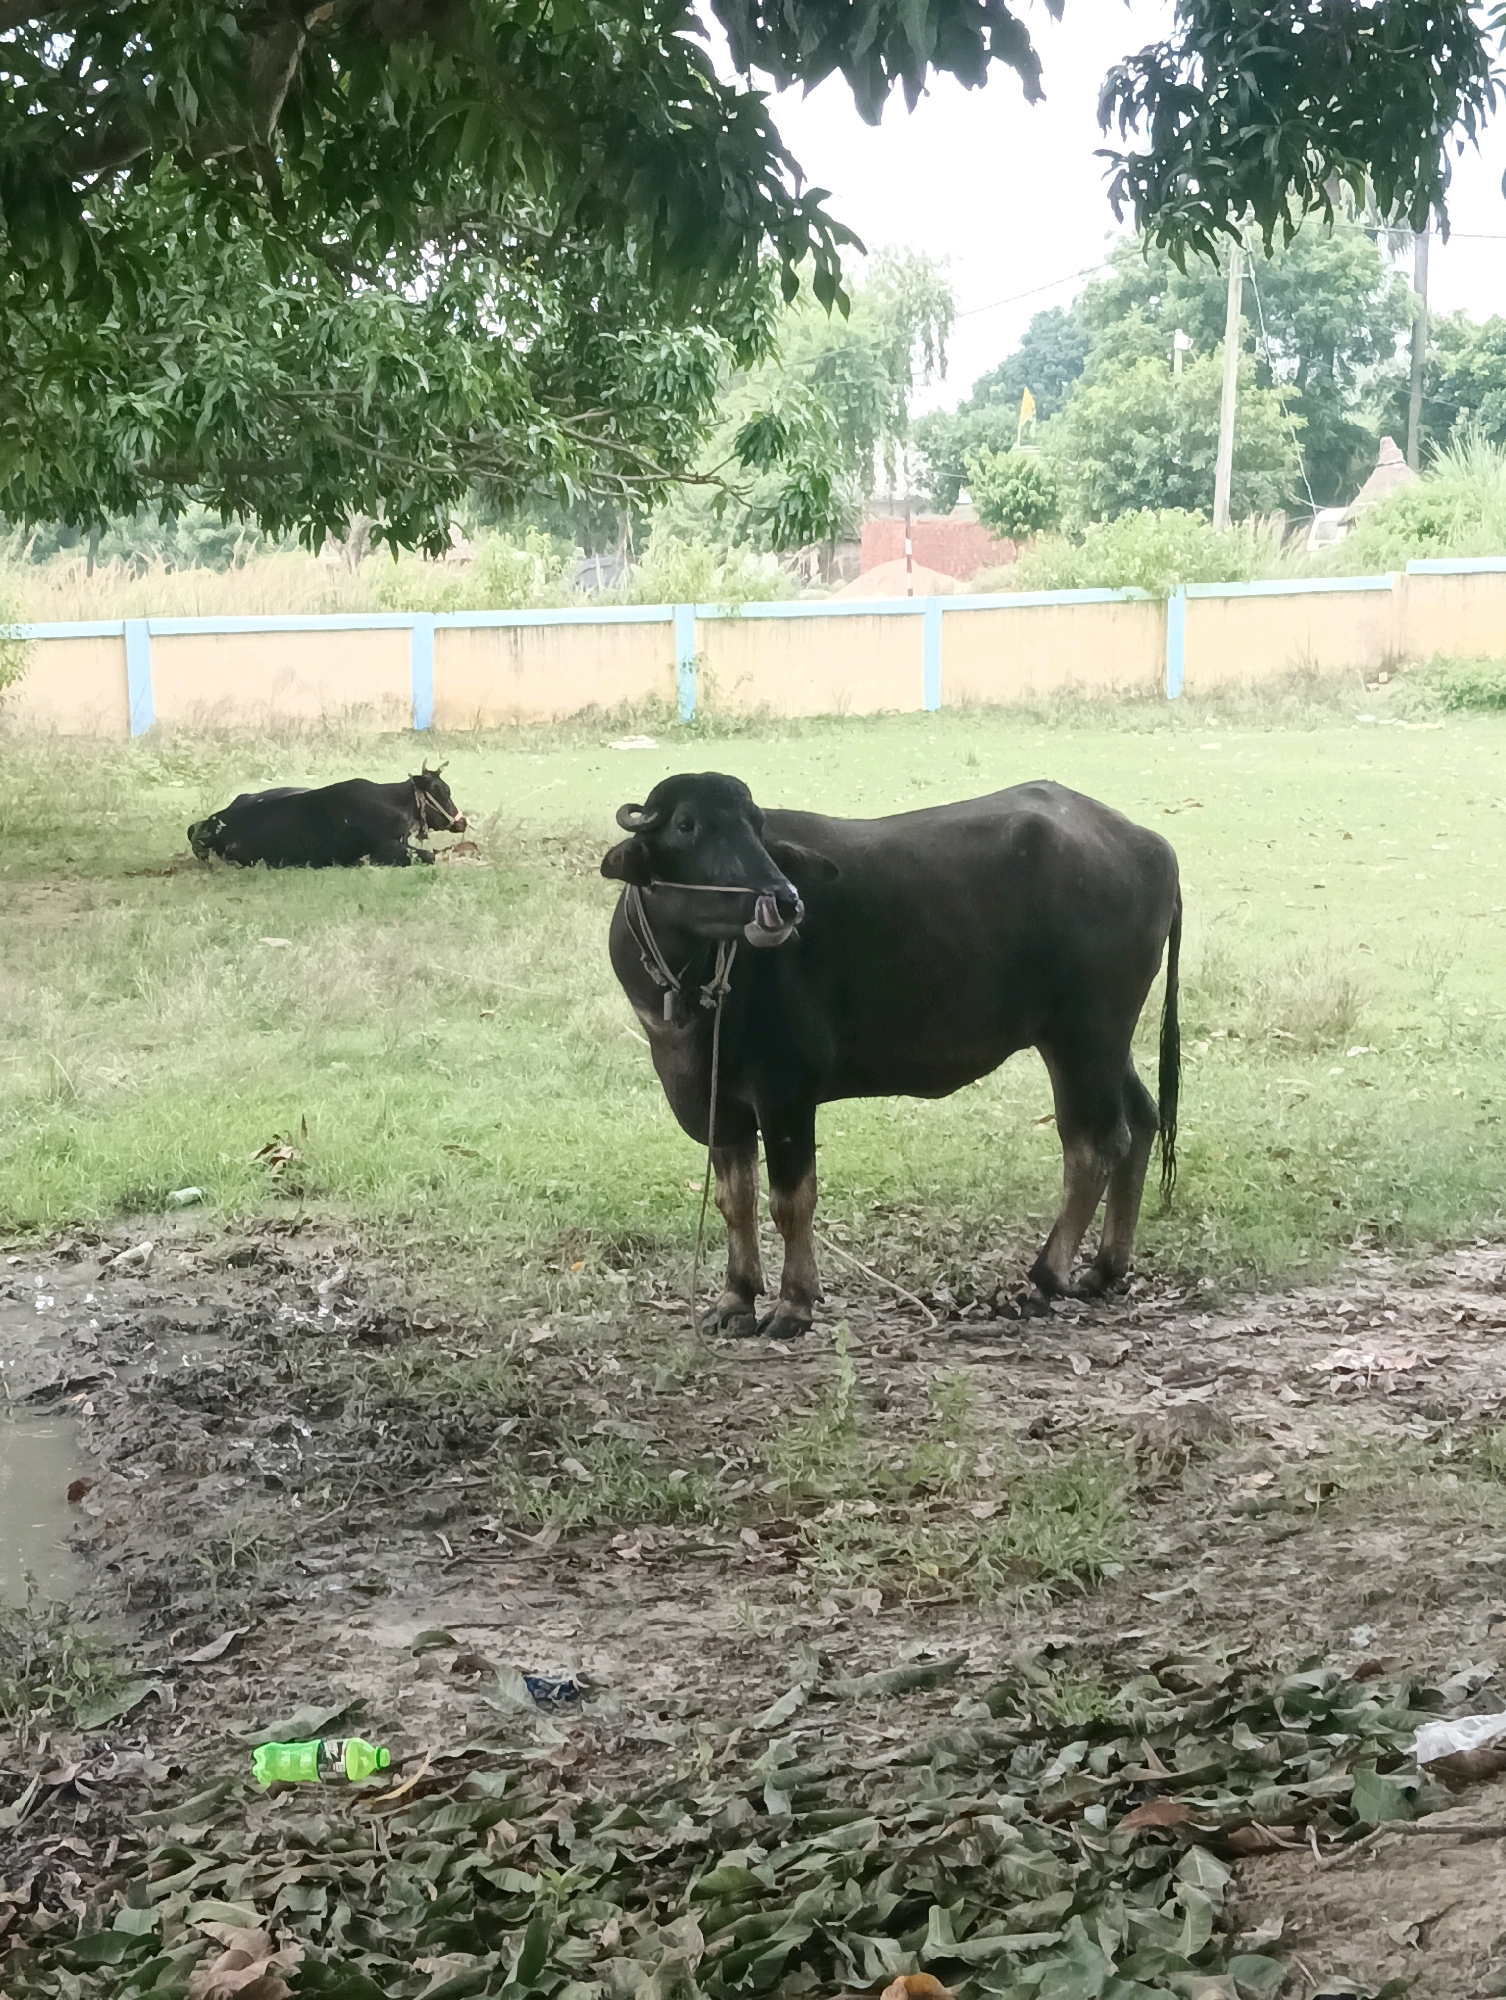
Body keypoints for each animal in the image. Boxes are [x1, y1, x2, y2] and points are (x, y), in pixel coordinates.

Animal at [603, 771, 1181, 1337]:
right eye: (686, 825)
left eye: (756, 825)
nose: (784, 901)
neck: (689, 983)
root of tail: (1151, 847)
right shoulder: (719, 1103)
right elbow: (734, 1201)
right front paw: (735, 1297)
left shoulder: (786, 1092)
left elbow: (791, 1201)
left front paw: (794, 1303)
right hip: (1105, 1042)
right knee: (1141, 1119)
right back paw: (1105, 1267)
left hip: (1085, 1036)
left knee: (1095, 1144)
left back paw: (1043, 1278)